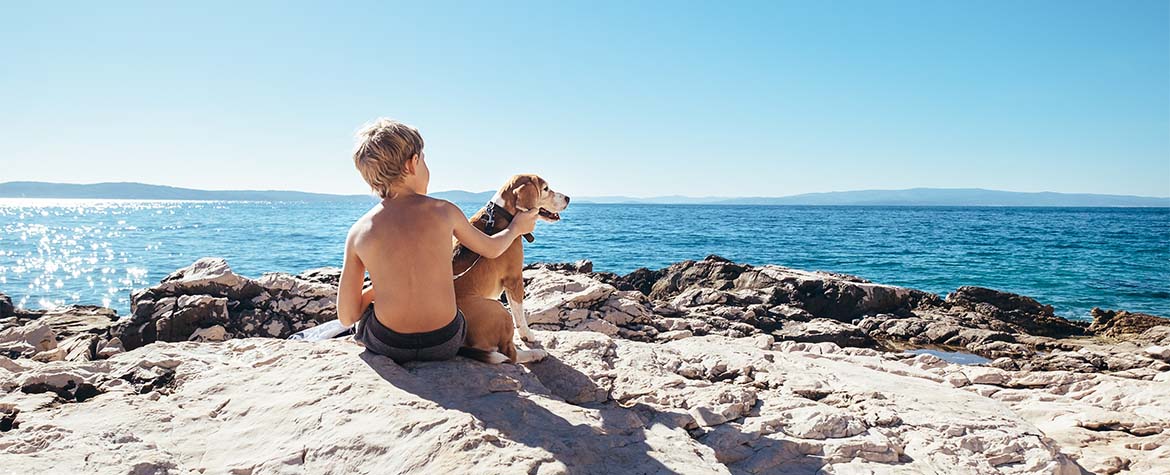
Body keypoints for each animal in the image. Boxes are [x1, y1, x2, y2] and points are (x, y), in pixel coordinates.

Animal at [453, 174, 568, 362]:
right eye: (545, 188)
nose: (568, 198)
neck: (503, 214)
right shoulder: (514, 278)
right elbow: (519, 313)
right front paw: (527, 334)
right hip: (499, 310)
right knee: (510, 354)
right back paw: (535, 354)